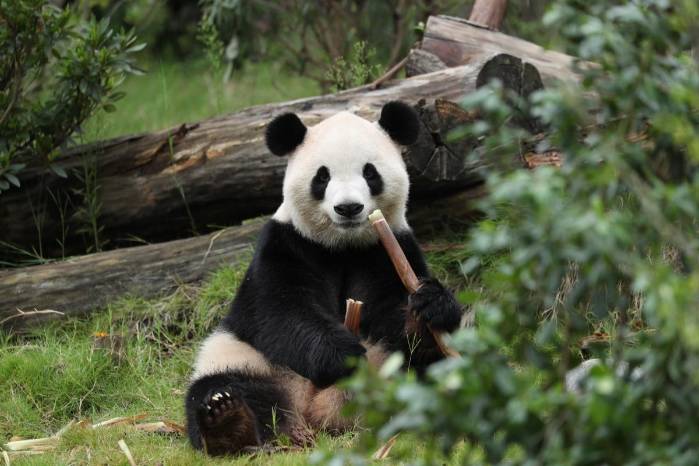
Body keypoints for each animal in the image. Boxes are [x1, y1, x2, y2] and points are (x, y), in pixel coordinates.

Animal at [185, 101, 463, 456]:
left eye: (370, 173)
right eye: (322, 176)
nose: (348, 208)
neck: (342, 246)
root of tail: (314, 413)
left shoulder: (387, 248)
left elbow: (394, 312)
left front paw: (428, 307)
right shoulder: (286, 244)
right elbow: (280, 311)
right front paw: (341, 355)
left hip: (388, 368)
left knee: (428, 369)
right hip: (244, 357)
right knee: (222, 386)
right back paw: (229, 421)